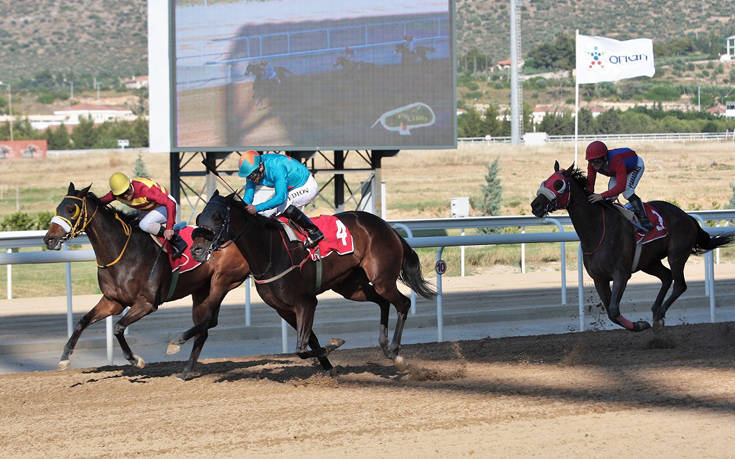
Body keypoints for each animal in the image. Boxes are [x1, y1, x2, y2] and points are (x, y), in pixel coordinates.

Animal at [43, 183, 250, 380]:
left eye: (71, 209)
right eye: (58, 207)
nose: (49, 239)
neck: (123, 252)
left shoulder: (147, 303)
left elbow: (118, 327)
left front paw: (135, 360)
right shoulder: (113, 302)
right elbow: (82, 321)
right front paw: (64, 358)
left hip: (221, 282)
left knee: (209, 321)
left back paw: (176, 345)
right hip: (201, 290)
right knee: (205, 327)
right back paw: (186, 370)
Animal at [190, 190, 436, 370]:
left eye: (219, 217)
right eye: (200, 217)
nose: (196, 250)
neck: (269, 251)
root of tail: (388, 227)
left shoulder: (306, 302)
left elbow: (301, 347)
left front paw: (334, 345)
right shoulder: (284, 309)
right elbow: (310, 341)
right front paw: (328, 367)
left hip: (382, 279)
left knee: (403, 303)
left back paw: (395, 352)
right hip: (351, 287)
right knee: (383, 302)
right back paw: (385, 347)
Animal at [532, 164, 732, 332]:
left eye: (558, 183)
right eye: (544, 181)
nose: (535, 205)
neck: (597, 230)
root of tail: (687, 216)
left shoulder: (621, 274)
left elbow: (613, 310)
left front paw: (639, 325)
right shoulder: (599, 279)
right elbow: (611, 312)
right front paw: (639, 324)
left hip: (677, 255)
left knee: (679, 285)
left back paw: (659, 315)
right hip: (649, 262)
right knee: (667, 277)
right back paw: (656, 310)